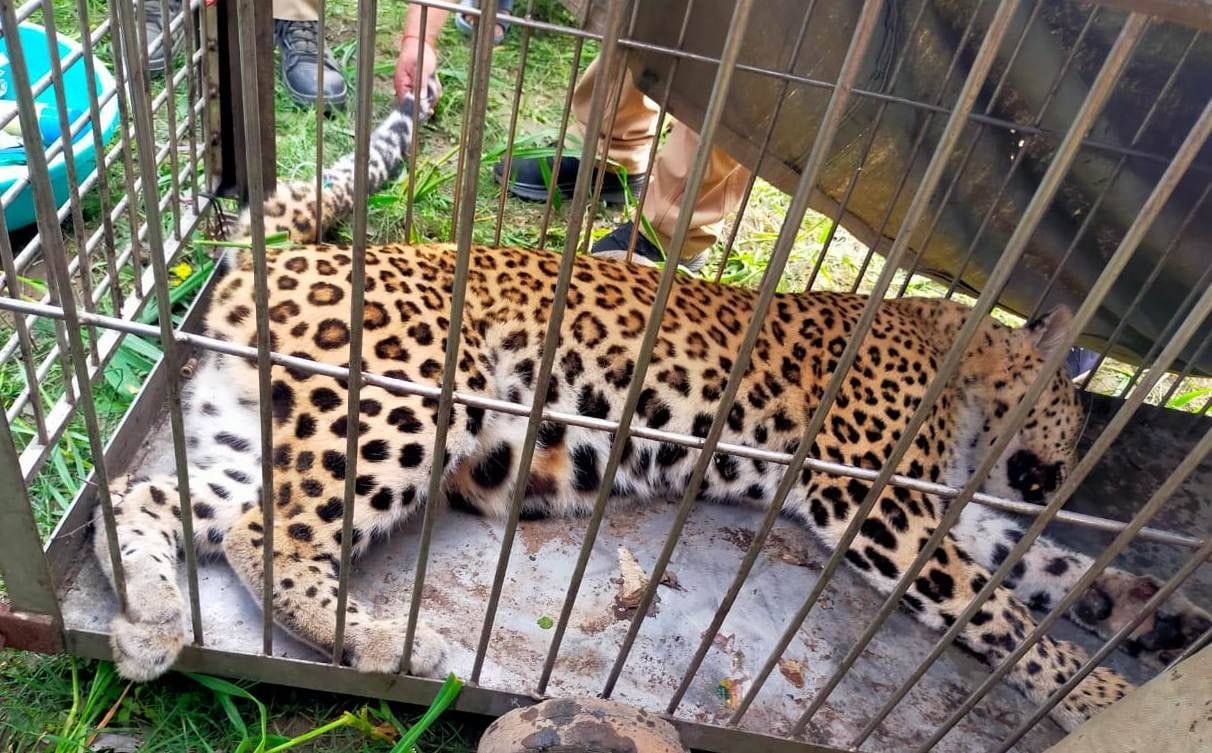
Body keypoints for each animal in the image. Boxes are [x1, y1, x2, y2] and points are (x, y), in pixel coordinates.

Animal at [91, 77, 1209, 736]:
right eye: (1074, 423)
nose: (1069, 465)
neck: (958, 367)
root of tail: (296, 252)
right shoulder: (880, 502)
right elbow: (1006, 616)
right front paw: (1103, 693)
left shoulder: (952, 507)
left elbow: (1046, 562)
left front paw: (1159, 613)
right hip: (405, 403)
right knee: (261, 530)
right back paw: (382, 644)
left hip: (267, 421)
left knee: (146, 504)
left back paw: (149, 618)